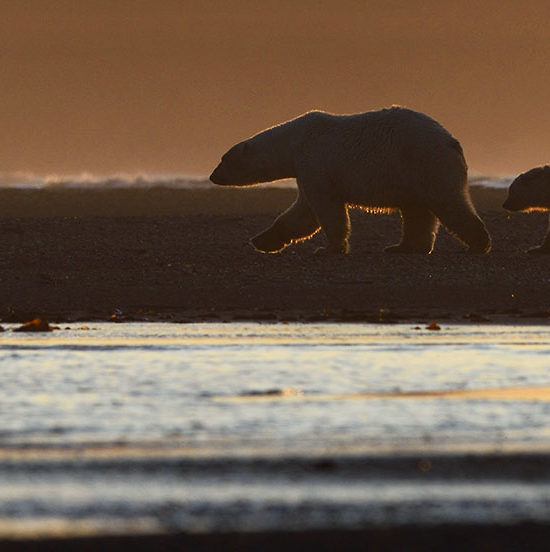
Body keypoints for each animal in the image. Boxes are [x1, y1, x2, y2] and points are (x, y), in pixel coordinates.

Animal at [210, 105, 492, 254]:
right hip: (413, 173)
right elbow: (302, 213)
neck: (294, 142)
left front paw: (329, 249)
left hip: (424, 161)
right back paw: (403, 247)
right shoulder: (306, 170)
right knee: (417, 211)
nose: (213, 176)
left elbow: (326, 210)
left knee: (447, 202)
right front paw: (263, 240)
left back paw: (479, 242)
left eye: (224, 159)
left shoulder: (316, 163)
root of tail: (451, 141)